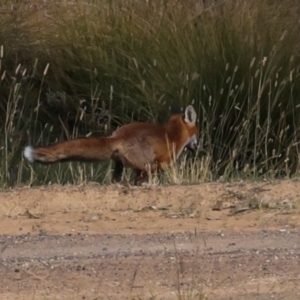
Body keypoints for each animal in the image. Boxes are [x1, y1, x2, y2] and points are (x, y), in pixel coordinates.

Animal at [22, 105, 197, 185]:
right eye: (198, 134)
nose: (198, 148)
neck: (173, 135)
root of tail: (118, 136)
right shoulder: (163, 163)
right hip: (146, 166)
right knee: (137, 180)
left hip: (120, 165)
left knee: (117, 180)